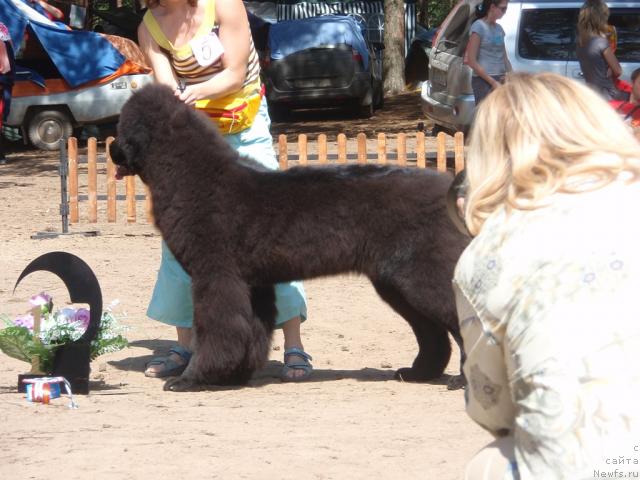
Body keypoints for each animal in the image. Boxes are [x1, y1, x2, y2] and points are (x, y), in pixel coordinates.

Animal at [110, 84, 470, 392]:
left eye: (122, 126)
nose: (111, 148)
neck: (191, 176)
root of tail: (446, 188)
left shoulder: (216, 276)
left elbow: (218, 330)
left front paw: (192, 378)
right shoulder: (252, 283)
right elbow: (251, 330)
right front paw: (234, 376)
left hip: (420, 276)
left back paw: (463, 381)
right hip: (395, 284)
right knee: (432, 332)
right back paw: (419, 373)